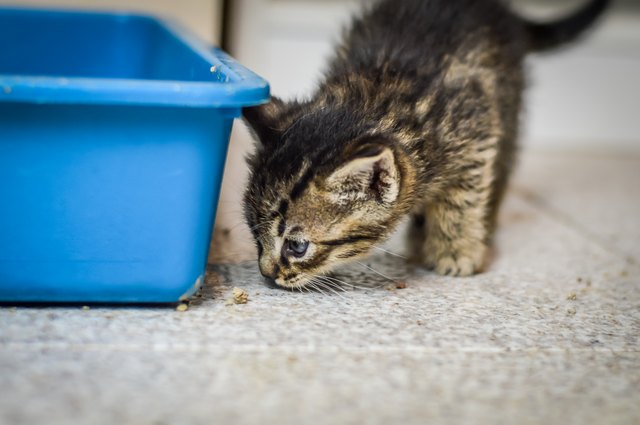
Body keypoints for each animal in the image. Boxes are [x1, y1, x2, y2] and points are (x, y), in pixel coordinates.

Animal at [240, 0, 604, 288]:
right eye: (255, 233)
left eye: (296, 246)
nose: (267, 274)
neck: (374, 99)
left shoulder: (475, 133)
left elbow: (463, 199)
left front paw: (456, 251)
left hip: (508, 104)